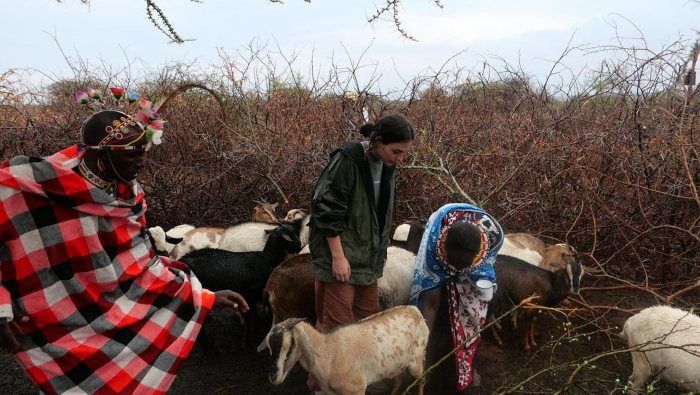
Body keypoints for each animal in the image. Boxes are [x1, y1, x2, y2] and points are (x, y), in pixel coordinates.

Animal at [260, 306, 430, 395]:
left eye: (291, 344)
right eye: (269, 346)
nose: (274, 377)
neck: (327, 353)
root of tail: (415, 311)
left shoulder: (357, 389)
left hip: (416, 360)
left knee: (422, 377)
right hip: (395, 364)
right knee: (398, 380)